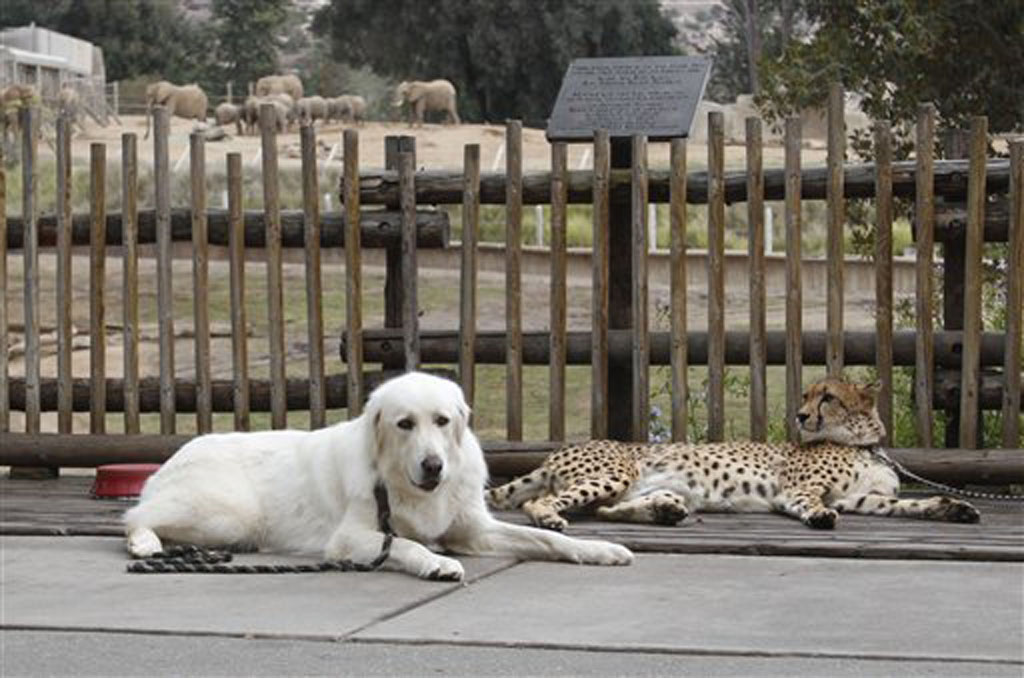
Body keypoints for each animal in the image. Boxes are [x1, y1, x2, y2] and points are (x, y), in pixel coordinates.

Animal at [124, 372, 634, 577]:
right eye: (404, 424)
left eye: (442, 421)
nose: (433, 465)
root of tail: (174, 455)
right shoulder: (350, 539)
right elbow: (406, 544)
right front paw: (435, 564)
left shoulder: (475, 532)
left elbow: (548, 539)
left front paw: (598, 549)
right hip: (228, 515)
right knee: (135, 517)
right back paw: (144, 544)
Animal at [487, 376, 983, 532]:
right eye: (807, 395)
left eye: (828, 397)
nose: (800, 415)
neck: (862, 444)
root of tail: (557, 454)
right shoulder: (800, 490)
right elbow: (809, 501)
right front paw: (818, 516)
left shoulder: (861, 498)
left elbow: (910, 505)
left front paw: (952, 508)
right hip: (615, 472)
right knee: (541, 500)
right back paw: (549, 519)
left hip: (639, 486)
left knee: (606, 510)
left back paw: (664, 511)